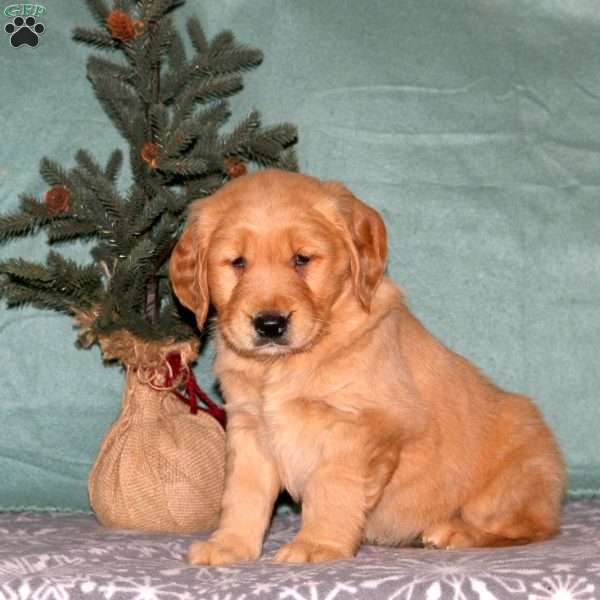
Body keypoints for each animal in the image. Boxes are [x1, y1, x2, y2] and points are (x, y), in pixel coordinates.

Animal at [170, 169, 568, 564]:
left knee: (530, 528)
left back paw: (454, 532)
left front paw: (318, 544)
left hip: (514, 478)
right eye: (237, 262)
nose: (270, 325)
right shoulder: (248, 426)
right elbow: (243, 494)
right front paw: (229, 544)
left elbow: (331, 488)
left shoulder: (355, 428)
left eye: (302, 259)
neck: (287, 363)